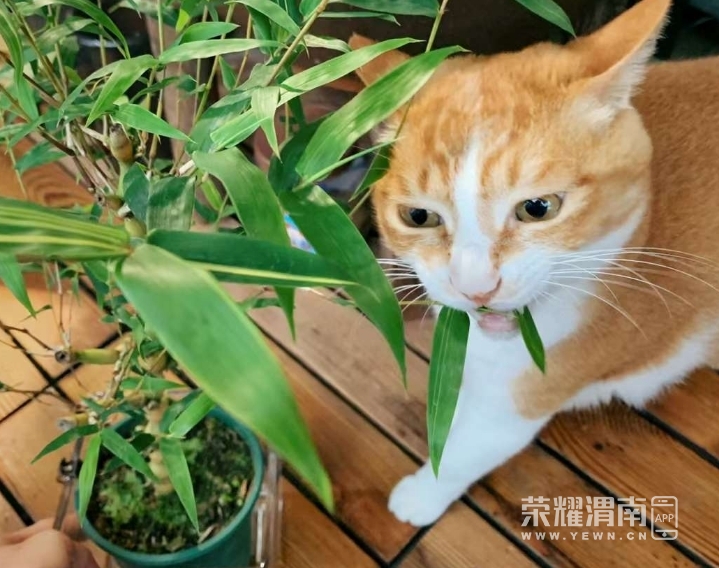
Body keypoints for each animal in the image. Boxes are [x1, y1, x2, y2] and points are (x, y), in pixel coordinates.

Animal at [349, 0, 719, 527]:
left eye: (538, 208)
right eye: (418, 217)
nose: (476, 287)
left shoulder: (518, 399)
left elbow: (463, 450)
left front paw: (421, 495)